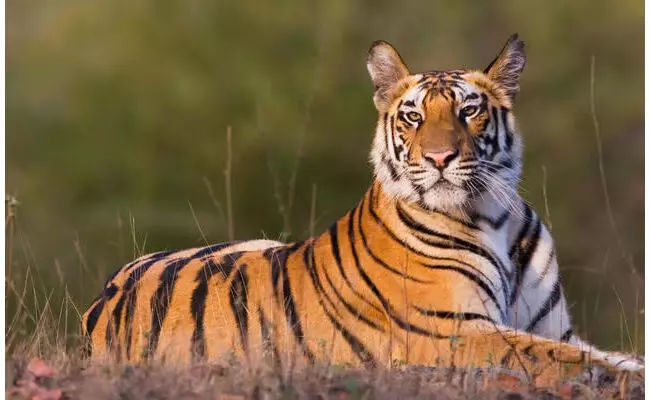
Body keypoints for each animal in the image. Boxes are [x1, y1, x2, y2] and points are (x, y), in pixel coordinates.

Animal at [81, 34, 643, 385]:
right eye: (414, 117)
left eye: (469, 110)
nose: (440, 158)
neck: (493, 217)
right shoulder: (453, 330)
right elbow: (559, 358)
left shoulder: (552, 326)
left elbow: (592, 350)